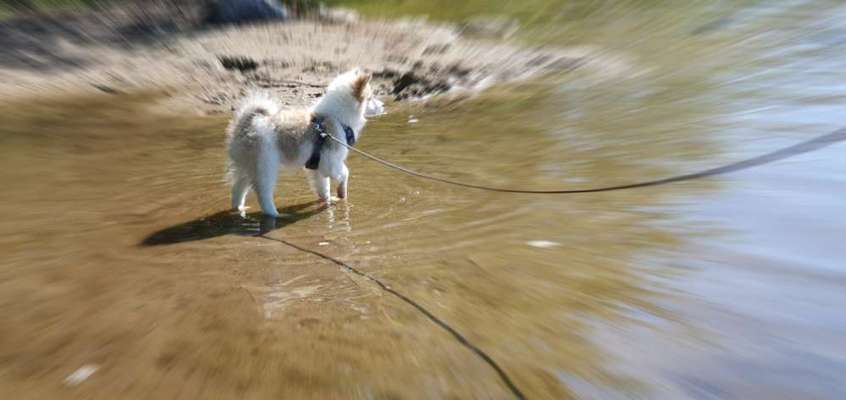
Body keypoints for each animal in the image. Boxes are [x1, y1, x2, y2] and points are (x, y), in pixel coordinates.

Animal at [225, 68, 374, 216]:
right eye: (371, 98)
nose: (380, 104)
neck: (337, 118)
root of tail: (246, 123)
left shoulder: (319, 167)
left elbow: (323, 187)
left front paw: (327, 202)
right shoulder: (331, 163)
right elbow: (345, 173)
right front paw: (342, 193)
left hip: (247, 167)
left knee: (237, 189)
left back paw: (239, 209)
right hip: (265, 166)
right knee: (263, 195)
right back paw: (275, 214)